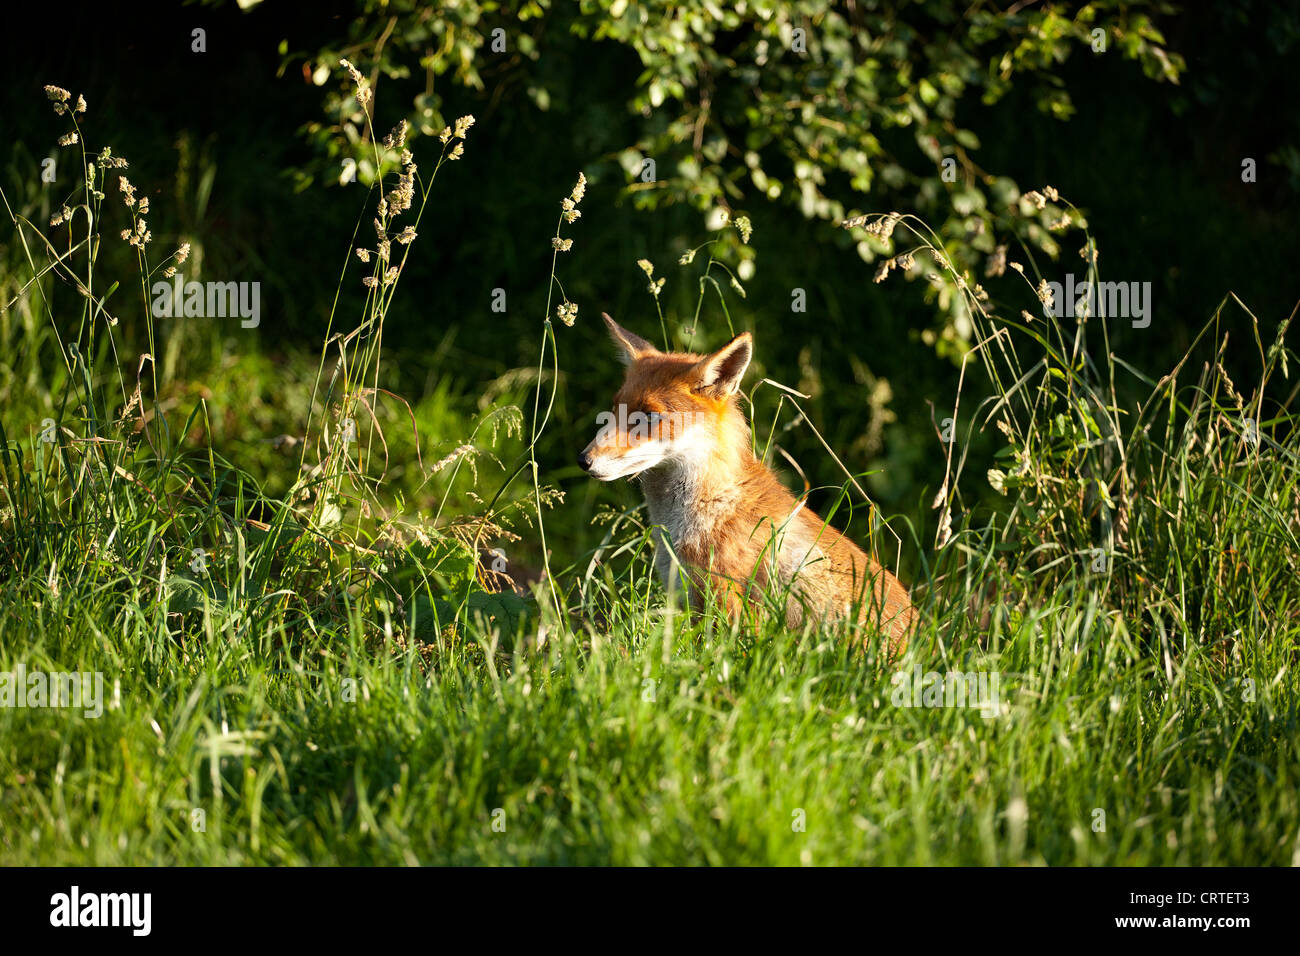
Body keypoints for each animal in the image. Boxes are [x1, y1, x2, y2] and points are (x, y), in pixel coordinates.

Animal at [579, 313, 917, 654]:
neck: (712, 504)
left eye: (649, 417)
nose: (584, 460)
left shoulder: (729, 599)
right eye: (615, 409)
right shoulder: (687, 597)